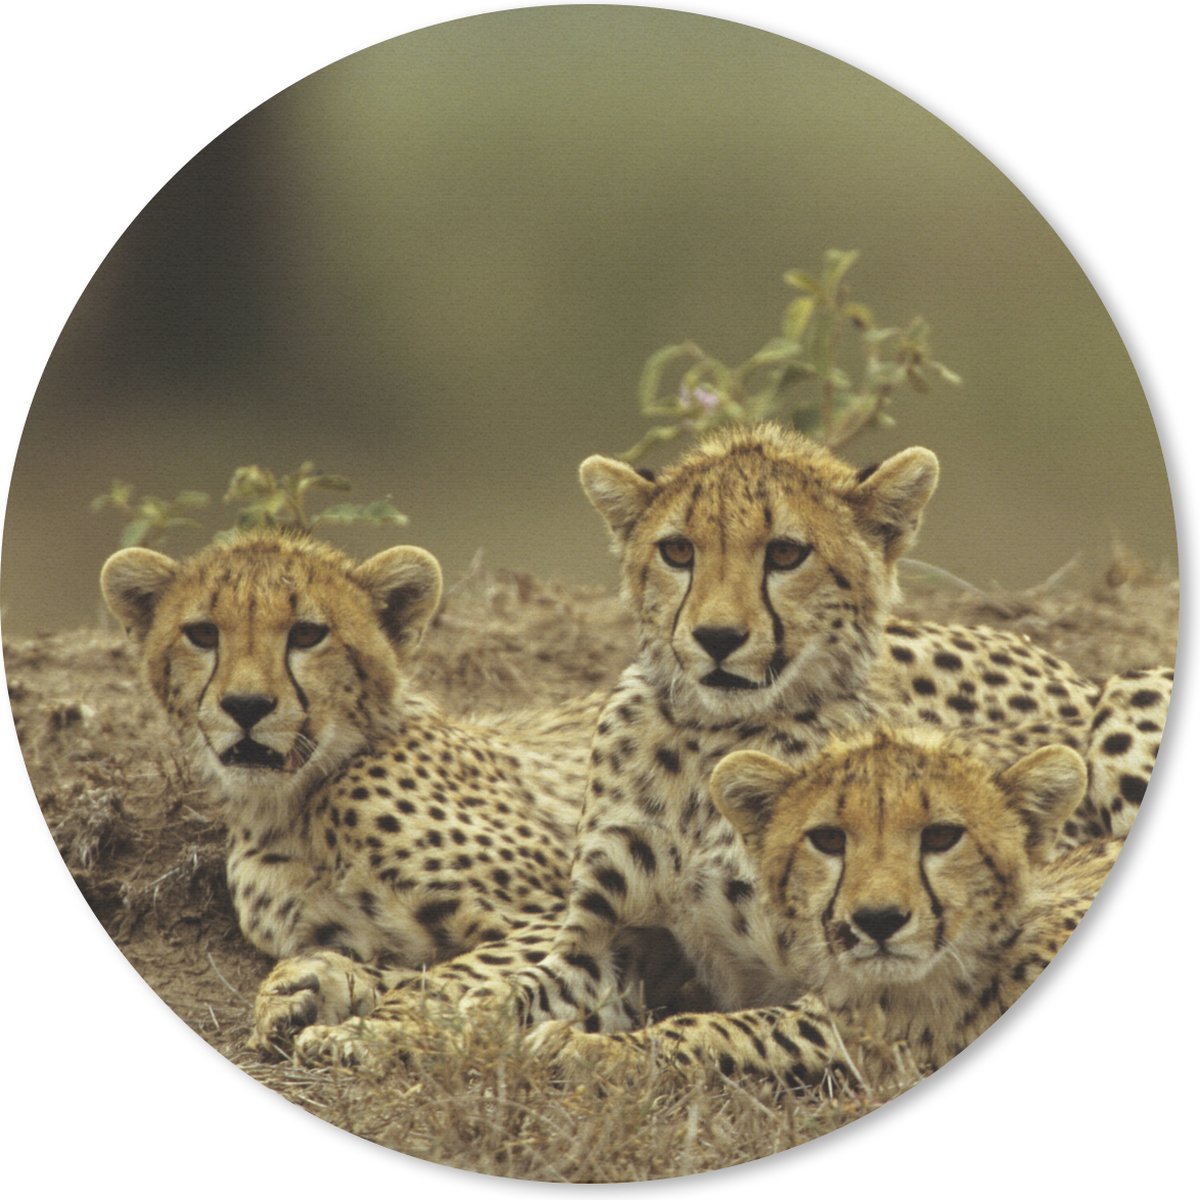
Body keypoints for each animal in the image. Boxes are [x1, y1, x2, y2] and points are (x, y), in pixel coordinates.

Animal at [100, 529, 611, 1048]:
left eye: (307, 634)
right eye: (203, 634)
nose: (246, 705)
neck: (294, 806)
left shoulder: (558, 914)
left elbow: (455, 978)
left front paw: (374, 1030)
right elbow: (408, 967)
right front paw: (307, 990)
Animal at [289, 424, 1165, 1066]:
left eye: (786, 553)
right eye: (678, 550)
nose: (716, 637)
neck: (707, 745)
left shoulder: (843, 985)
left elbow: (711, 1032)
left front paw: (590, 1055)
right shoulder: (609, 943)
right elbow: (503, 995)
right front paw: (382, 1031)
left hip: (1130, 696)